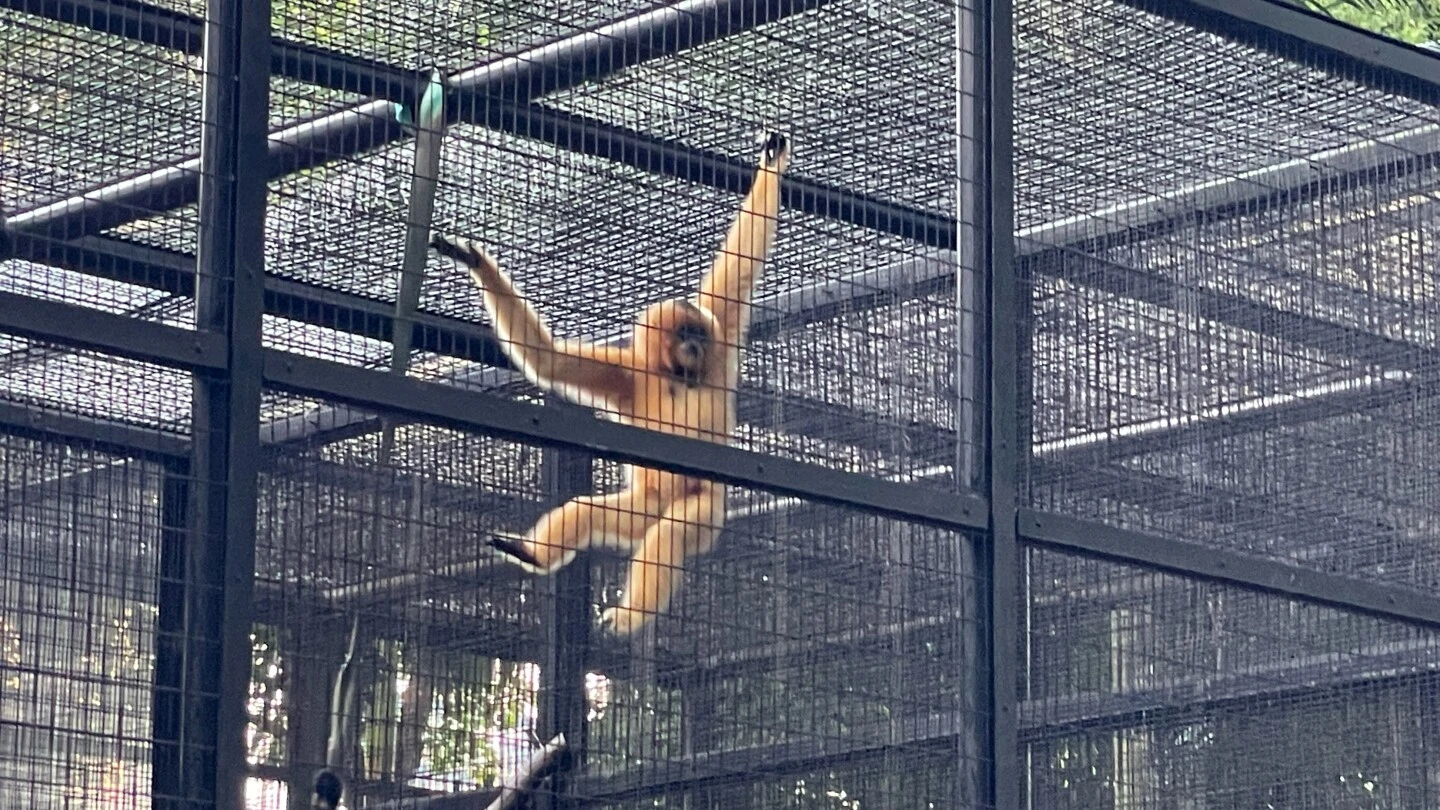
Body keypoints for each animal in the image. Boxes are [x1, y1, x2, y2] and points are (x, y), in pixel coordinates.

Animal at [432, 131, 794, 631]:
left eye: (698, 333)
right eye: (683, 333)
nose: (695, 345)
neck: (673, 375)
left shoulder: (720, 346)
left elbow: (741, 261)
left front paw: (772, 162)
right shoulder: (629, 374)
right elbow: (550, 362)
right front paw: (476, 262)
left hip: (704, 508)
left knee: (669, 534)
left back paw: (628, 615)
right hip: (641, 503)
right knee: (587, 510)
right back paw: (532, 553)